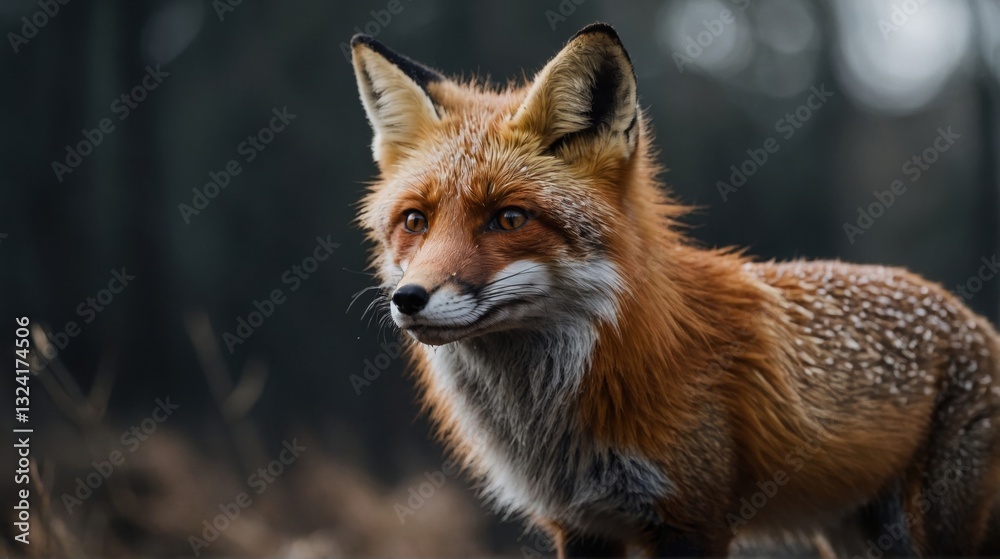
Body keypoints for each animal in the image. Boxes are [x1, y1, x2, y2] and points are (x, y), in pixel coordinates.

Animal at [349, 23, 1000, 557]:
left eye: (509, 219)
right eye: (415, 221)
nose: (409, 298)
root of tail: (969, 315)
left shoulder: (693, 518)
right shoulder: (582, 525)